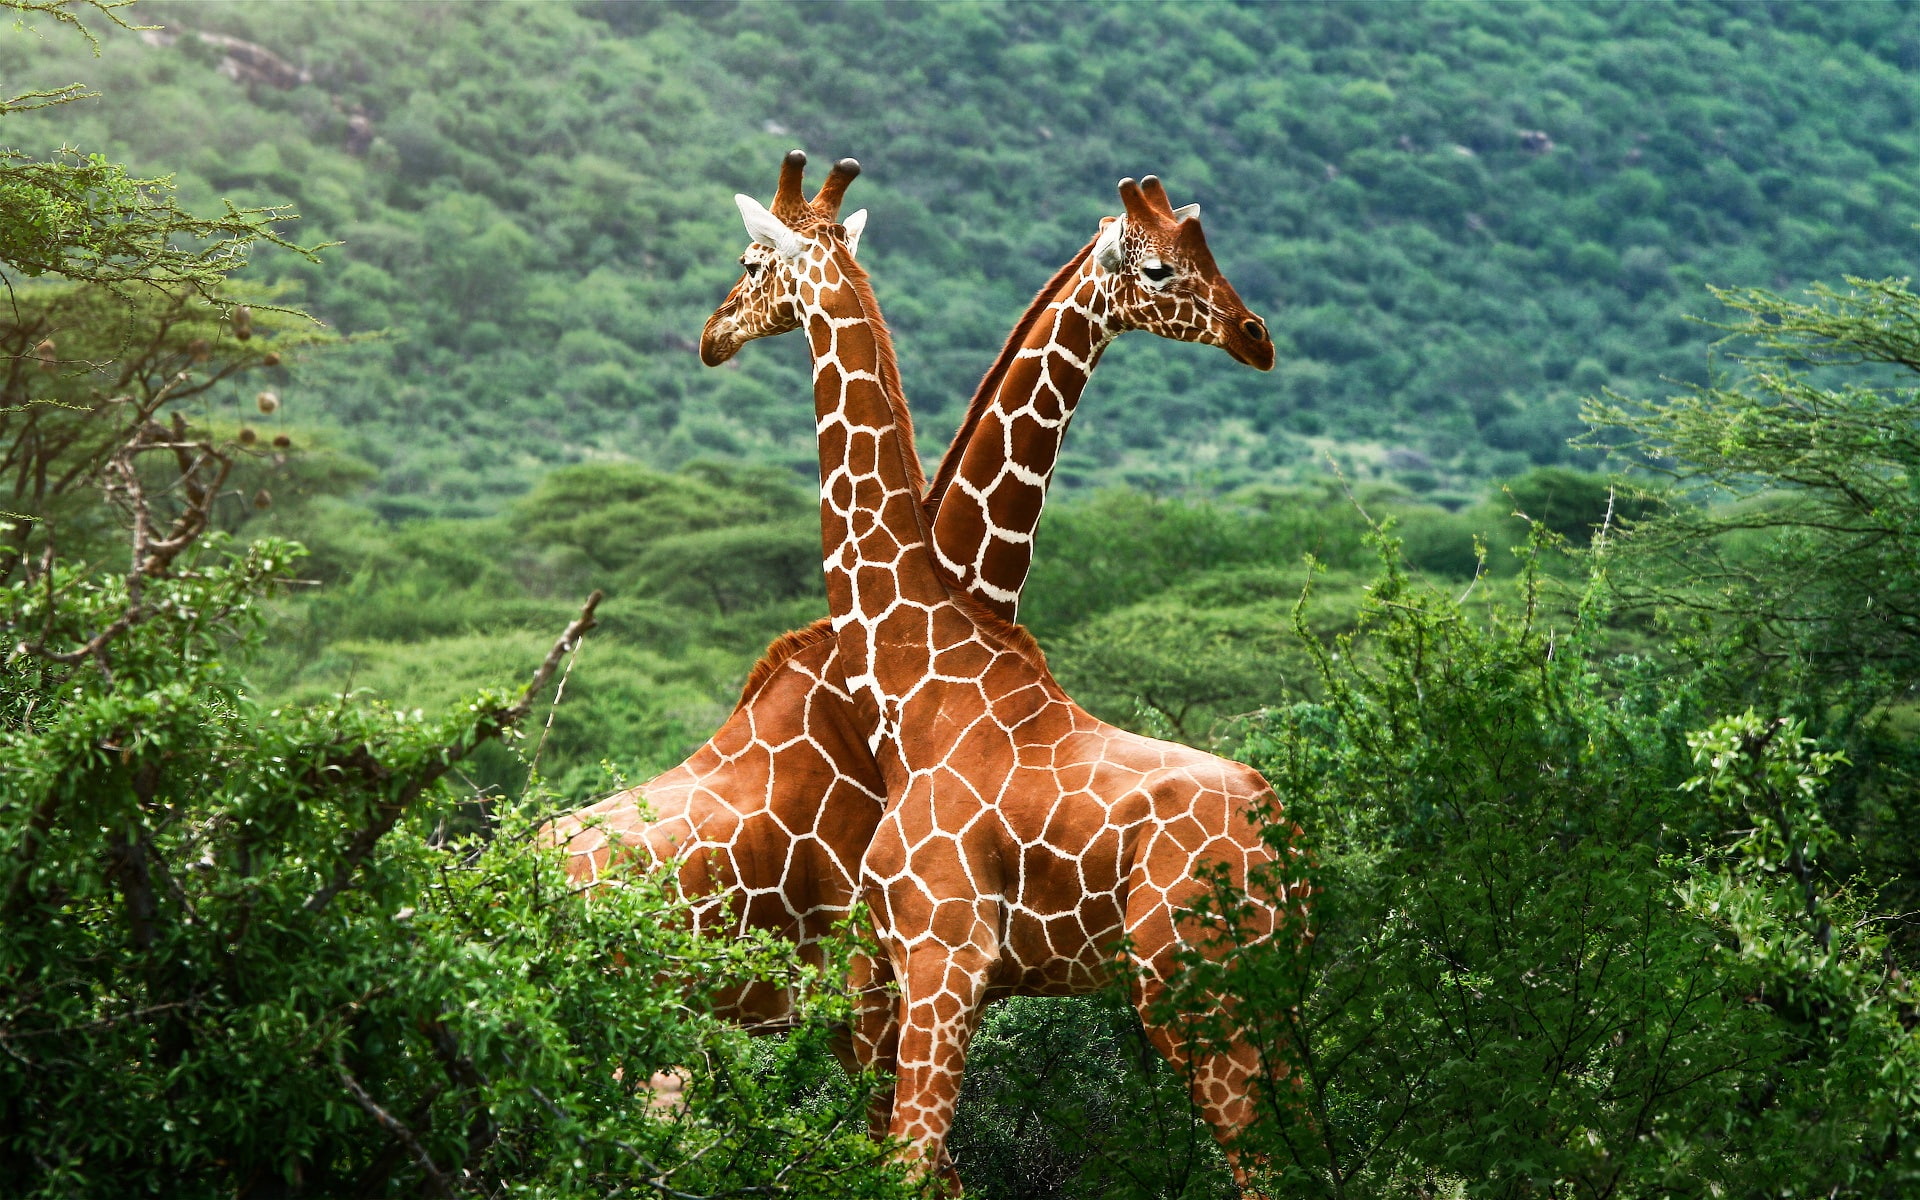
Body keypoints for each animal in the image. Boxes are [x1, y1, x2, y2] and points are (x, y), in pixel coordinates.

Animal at [697, 150, 1296, 1193]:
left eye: (748, 260)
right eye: (1162, 268)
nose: (711, 334)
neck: (917, 674)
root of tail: (1286, 846)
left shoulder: (941, 957)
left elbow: (910, 1167)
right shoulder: (903, 973)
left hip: (1193, 988)